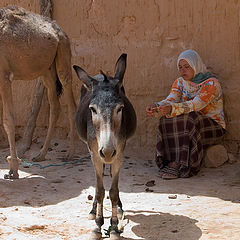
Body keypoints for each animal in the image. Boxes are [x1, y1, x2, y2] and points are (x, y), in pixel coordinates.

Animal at [0, 5, 76, 178]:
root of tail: (59, 30)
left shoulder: (4, 75)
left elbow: (8, 120)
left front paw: (13, 170)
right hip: (46, 71)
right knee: (55, 106)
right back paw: (41, 155)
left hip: (63, 54)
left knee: (71, 102)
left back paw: (70, 153)